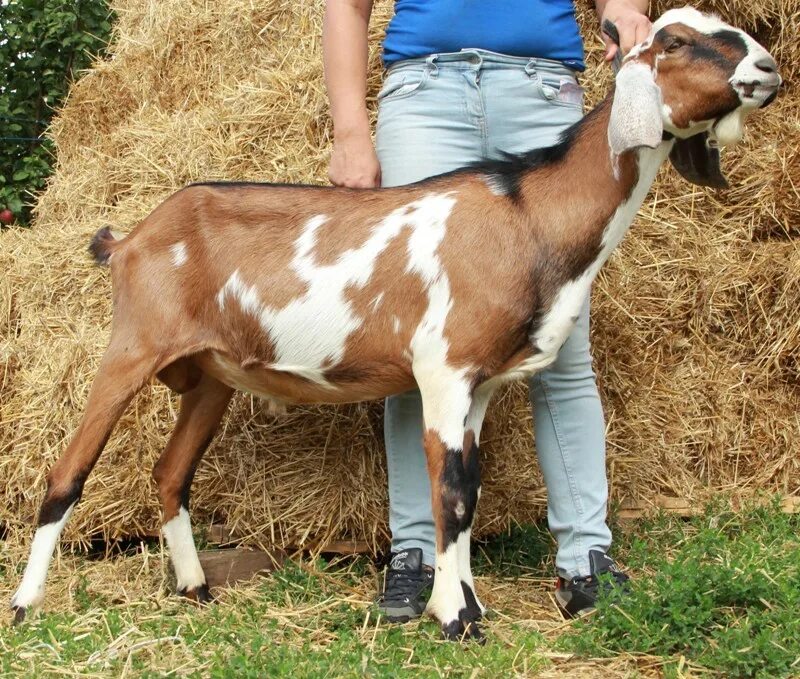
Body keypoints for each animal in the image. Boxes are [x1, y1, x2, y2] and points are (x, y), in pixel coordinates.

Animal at [12, 7, 780, 640]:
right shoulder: (444, 368)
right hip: (132, 345)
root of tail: (131, 237)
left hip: (209, 374)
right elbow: (451, 492)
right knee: (66, 472)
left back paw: (196, 589)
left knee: (170, 473)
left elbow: (467, 488)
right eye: (674, 41)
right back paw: (26, 605)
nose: (768, 68)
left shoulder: (482, 381)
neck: (528, 213)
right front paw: (455, 617)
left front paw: (466, 604)